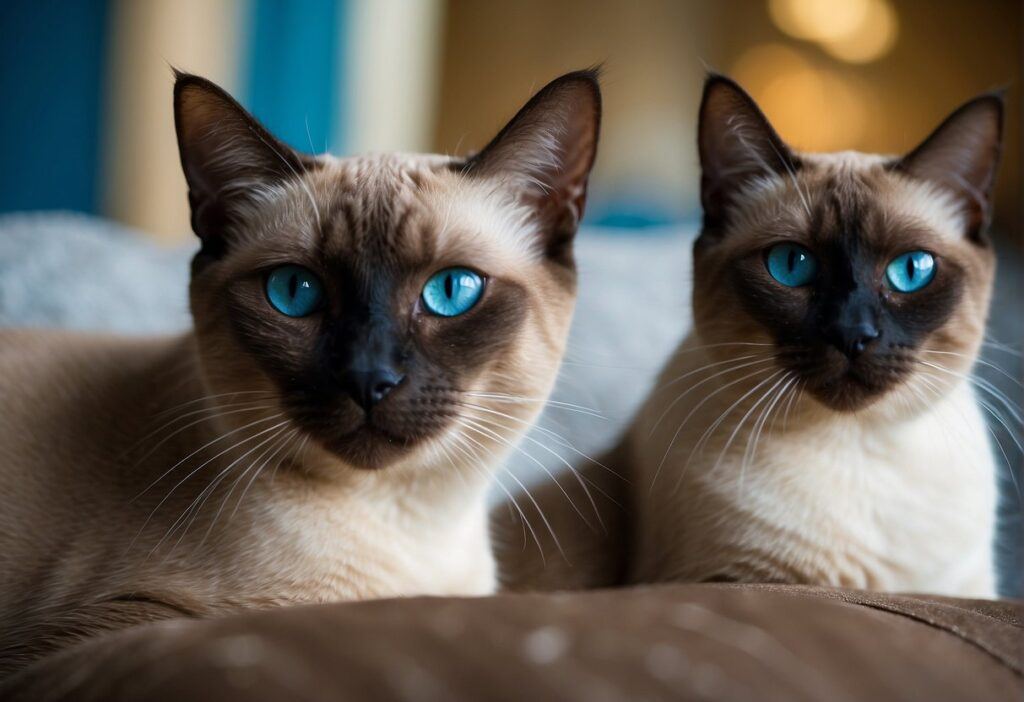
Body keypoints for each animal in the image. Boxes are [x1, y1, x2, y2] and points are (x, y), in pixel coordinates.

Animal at [499, 75, 1003, 597]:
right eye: (791, 265)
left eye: (911, 270)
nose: (853, 335)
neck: (855, 447)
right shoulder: (730, 580)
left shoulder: (971, 589)